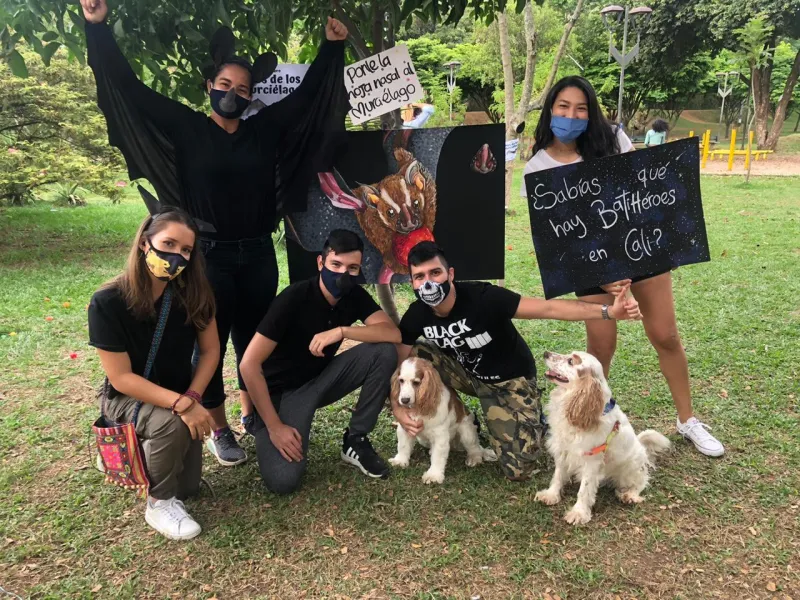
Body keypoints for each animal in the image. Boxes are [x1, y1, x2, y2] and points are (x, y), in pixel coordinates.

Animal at [535, 351, 671, 525]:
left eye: (571, 361)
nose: (546, 353)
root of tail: (642, 448)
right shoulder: (563, 450)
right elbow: (557, 476)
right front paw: (550, 495)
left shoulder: (591, 460)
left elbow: (584, 490)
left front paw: (578, 513)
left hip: (630, 469)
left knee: (641, 480)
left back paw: (629, 495)